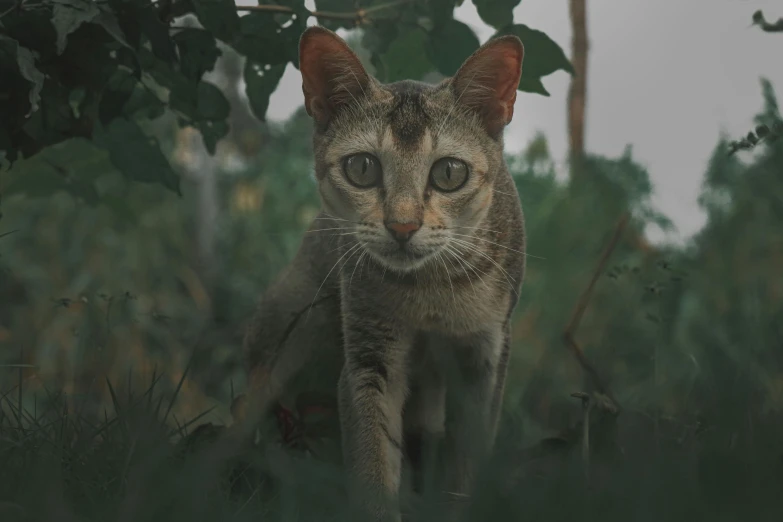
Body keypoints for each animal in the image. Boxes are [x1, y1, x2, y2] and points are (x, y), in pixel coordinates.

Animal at [240, 27, 528, 520]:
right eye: (362, 167)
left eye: (449, 172)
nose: (403, 227)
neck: (431, 291)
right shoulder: (369, 357)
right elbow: (373, 461)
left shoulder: (486, 355)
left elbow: (466, 464)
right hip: (285, 332)